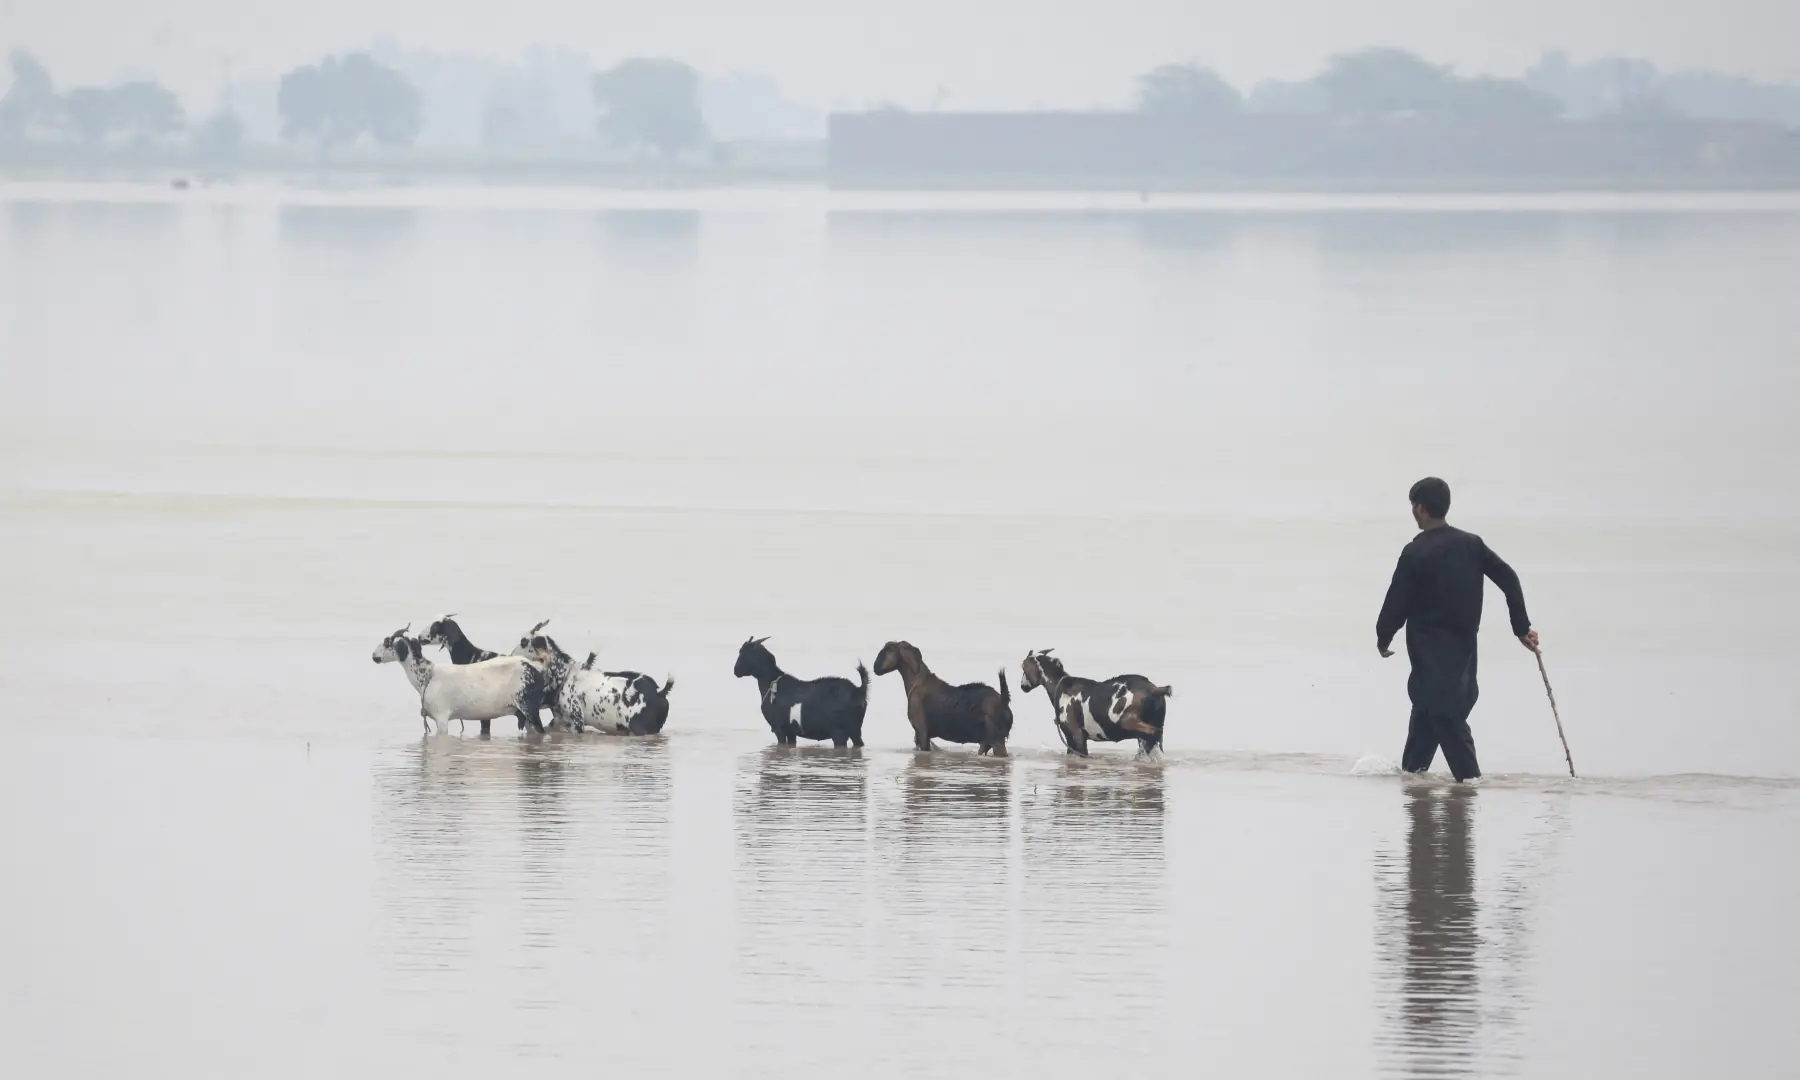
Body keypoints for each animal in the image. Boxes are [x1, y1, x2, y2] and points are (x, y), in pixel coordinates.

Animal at [371, 624, 547, 735]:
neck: (427, 676)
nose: (374, 656)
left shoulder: (441, 717)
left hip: (529, 708)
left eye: (387, 642)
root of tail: (534, 669)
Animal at [513, 624, 673, 736]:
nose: (511, 654)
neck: (565, 675)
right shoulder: (560, 720)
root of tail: (659, 693)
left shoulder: (577, 724)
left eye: (523, 642)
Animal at [733, 636, 869, 748]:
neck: (771, 682)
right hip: (855, 730)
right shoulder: (790, 731)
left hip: (839, 732)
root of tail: (858, 690)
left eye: (742, 652)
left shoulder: (778, 728)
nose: (735, 670)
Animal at [872, 640, 1012, 755]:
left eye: (889, 649)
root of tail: (1003, 702)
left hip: (997, 740)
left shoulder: (921, 732)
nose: (875, 667)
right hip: (987, 741)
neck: (916, 681)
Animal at [1020, 649, 1171, 758]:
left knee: (1152, 733)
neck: (1062, 686)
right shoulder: (1069, 740)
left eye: (1023, 669)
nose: (1022, 687)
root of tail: (1154, 689)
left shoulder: (1077, 736)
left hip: (1128, 722)